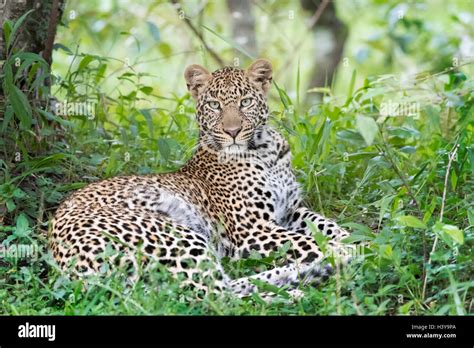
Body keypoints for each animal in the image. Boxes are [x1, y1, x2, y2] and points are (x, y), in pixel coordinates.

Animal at [50, 59, 354, 300]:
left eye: (245, 102)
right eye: (214, 105)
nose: (232, 131)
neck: (264, 149)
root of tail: (68, 267)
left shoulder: (291, 209)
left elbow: (325, 226)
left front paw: (348, 238)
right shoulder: (251, 229)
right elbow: (307, 242)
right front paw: (352, 247)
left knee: (225, 286)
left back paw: (318, 270)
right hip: (175, 235)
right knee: (218, 296)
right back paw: (315, 276)